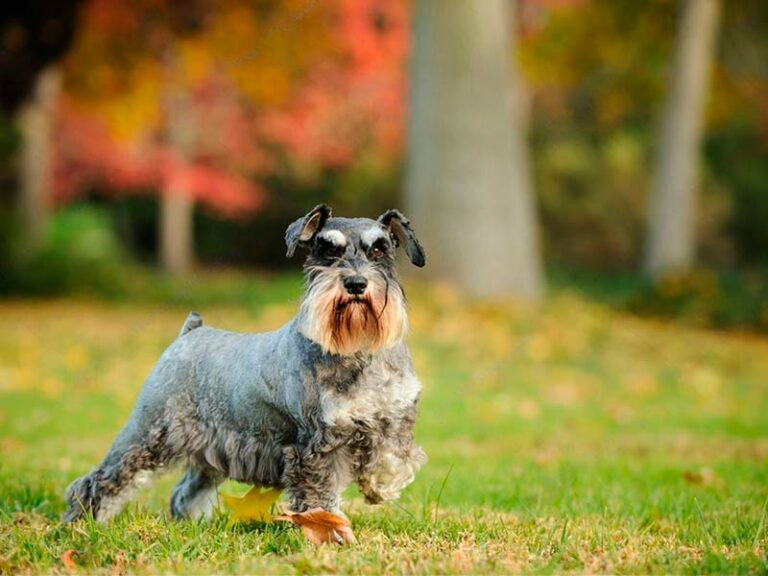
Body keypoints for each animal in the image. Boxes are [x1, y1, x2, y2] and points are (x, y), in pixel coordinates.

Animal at [62, 204, 426, 532]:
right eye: (326, 250)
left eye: (379, 249)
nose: (355, 283)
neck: (359, 351)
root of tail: (190, 332)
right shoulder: (313, 445)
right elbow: (319, 496)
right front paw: (327, 529)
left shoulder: (395, 418)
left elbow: (393, 457)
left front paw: (378, 488)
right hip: (146, 434)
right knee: (102, 480)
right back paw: (81, 524)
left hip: (209, 449)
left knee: (186, 491)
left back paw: (192, 523)